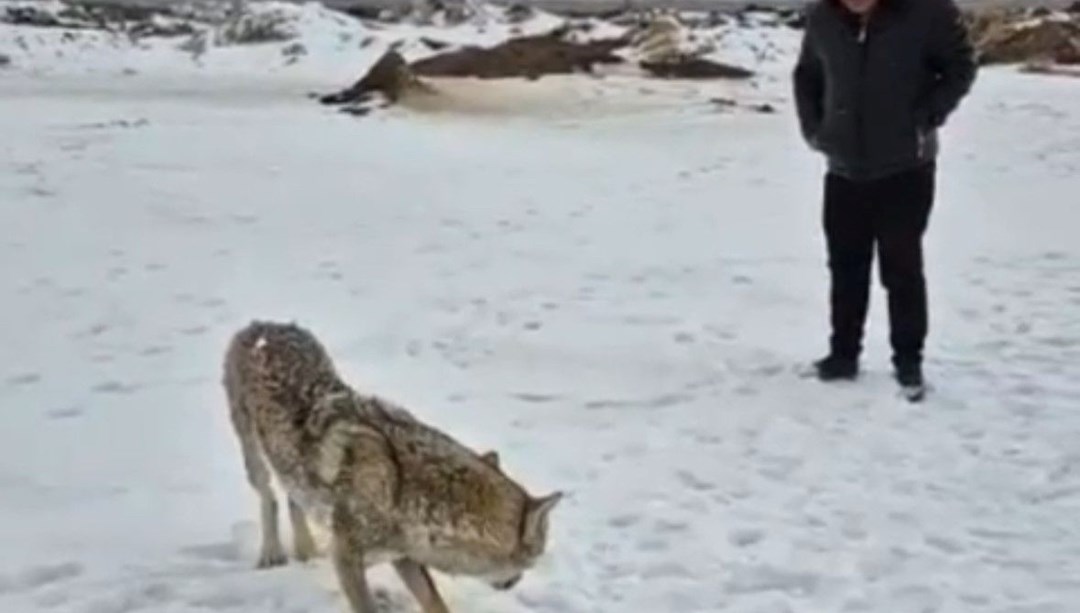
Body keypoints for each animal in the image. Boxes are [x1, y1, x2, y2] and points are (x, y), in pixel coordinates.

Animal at [218, 321, 557, 613]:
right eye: (534, 559)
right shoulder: (347, 559)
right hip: (253, 455)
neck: (402, 489)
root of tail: (262, 325)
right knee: (269, 497)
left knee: (292, 499)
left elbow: (435, 602)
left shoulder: (403, 556)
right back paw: (271, 554)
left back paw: (306, 552)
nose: (515, 583)